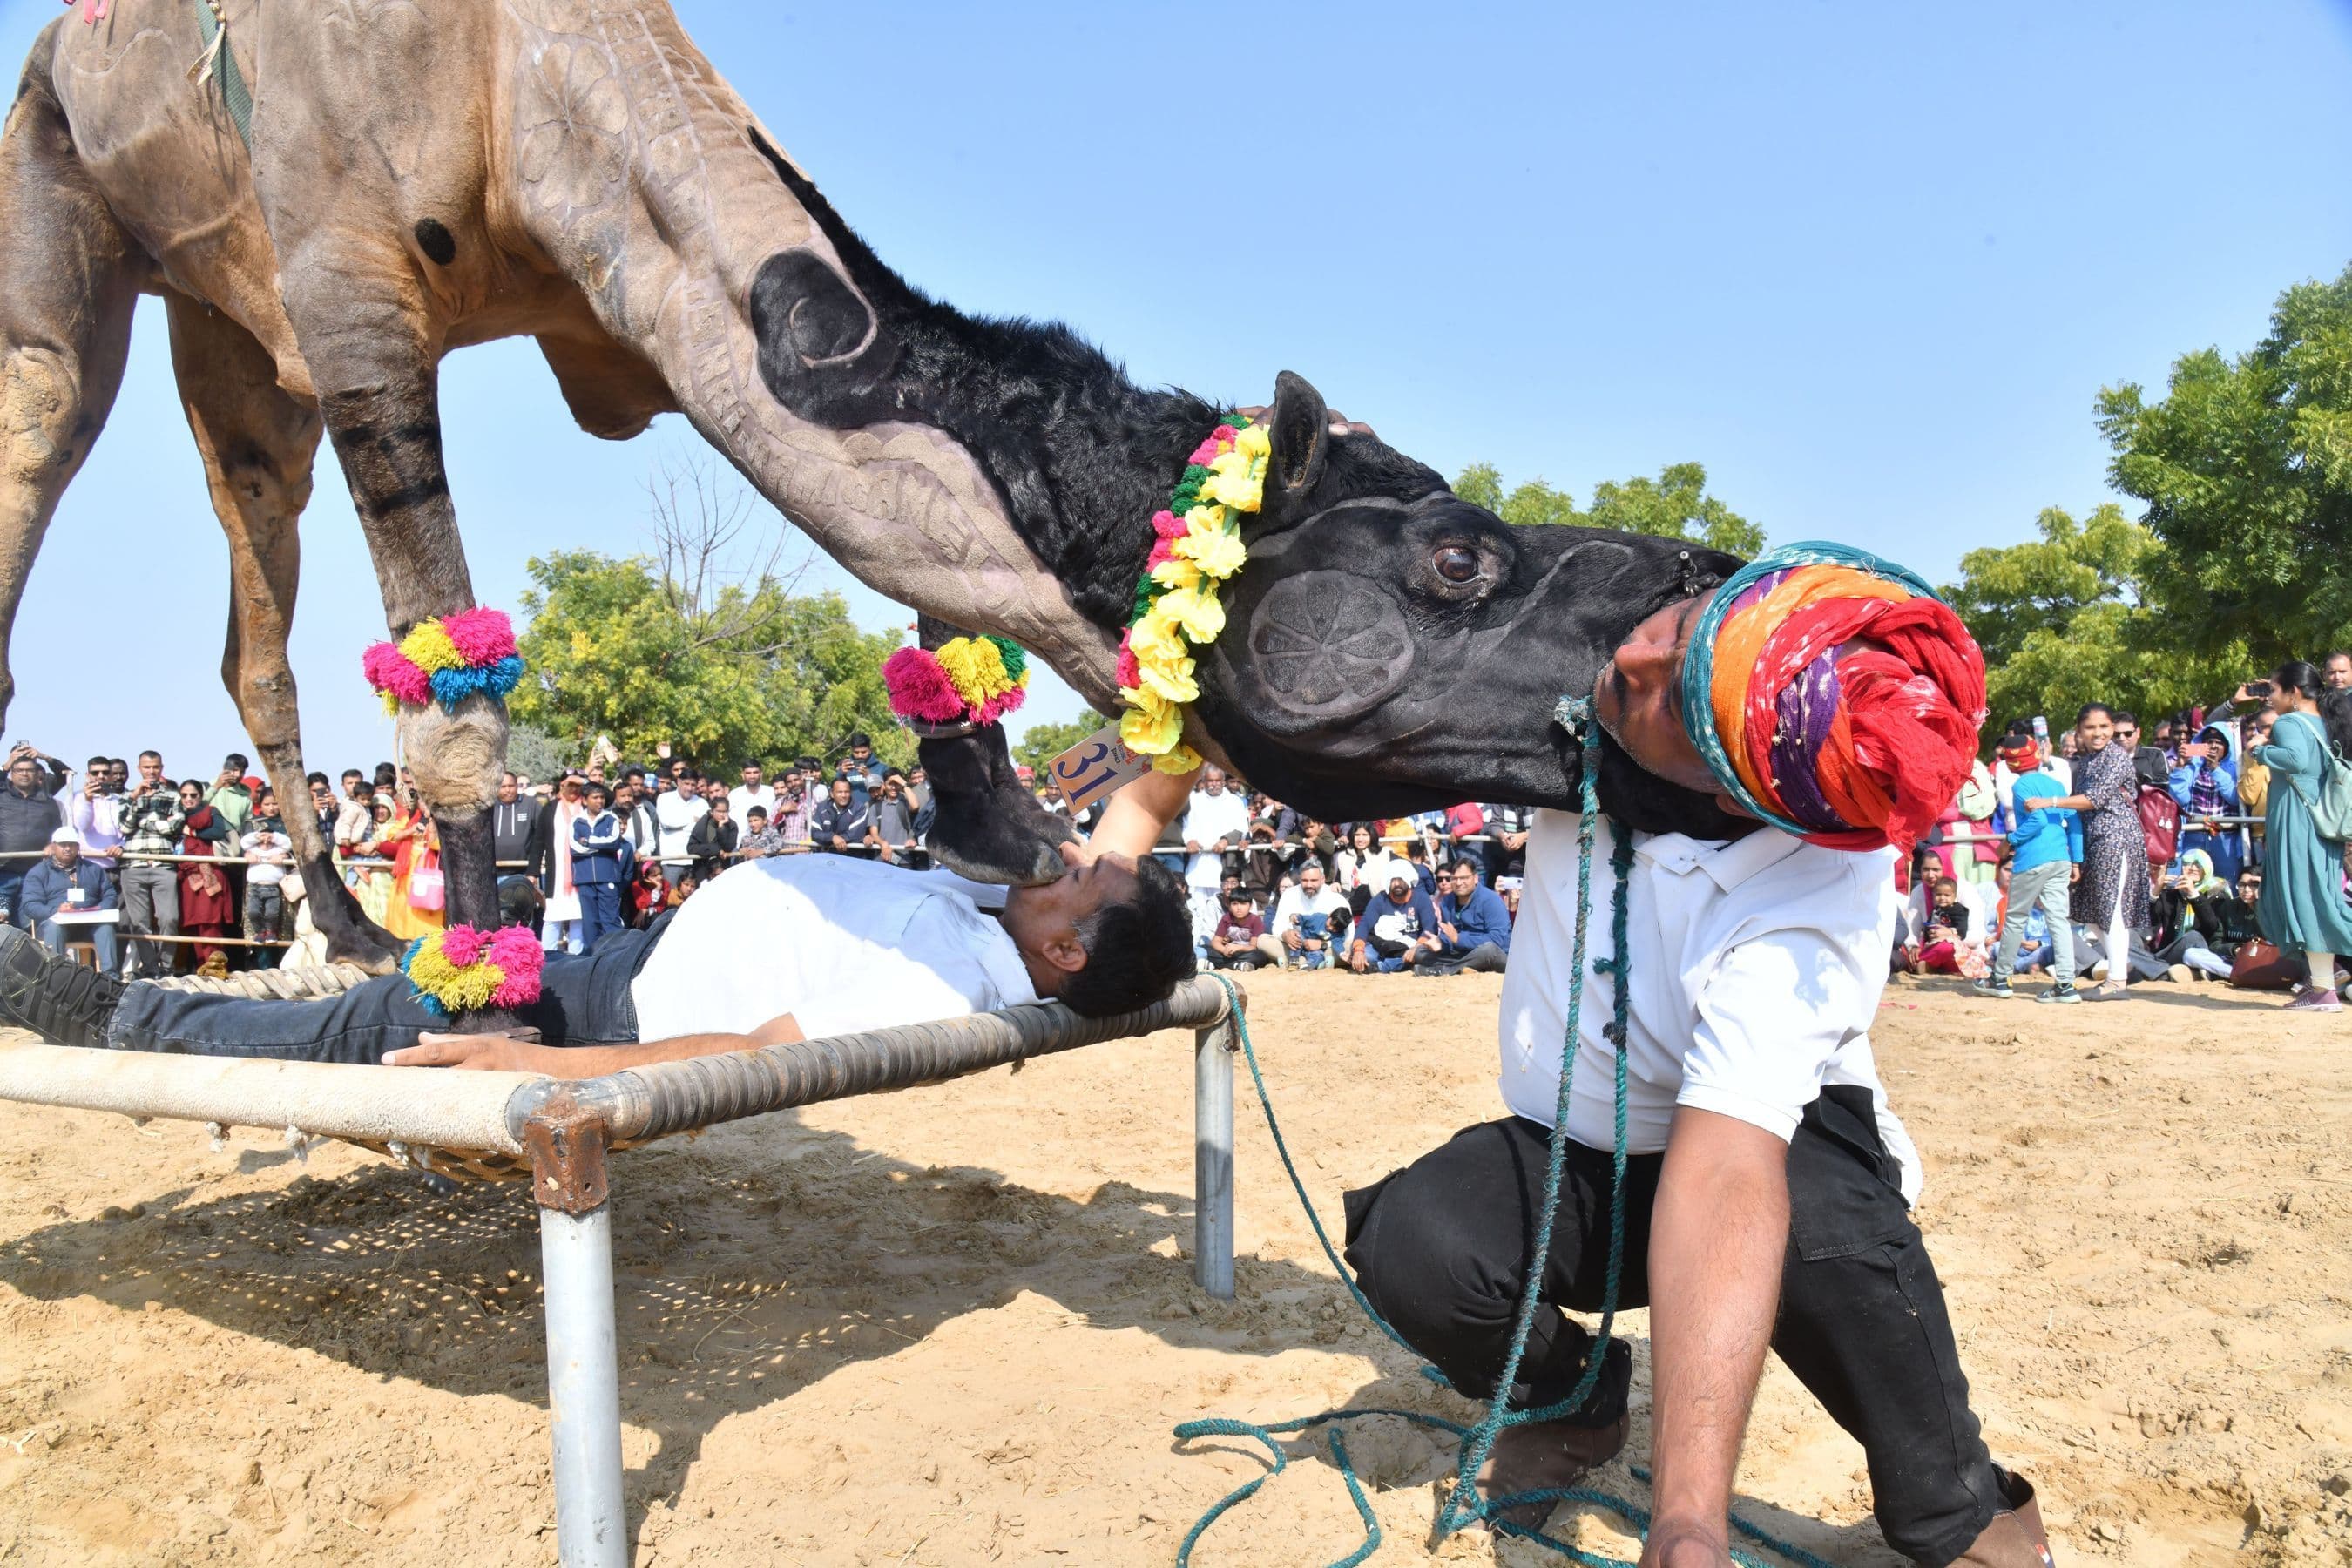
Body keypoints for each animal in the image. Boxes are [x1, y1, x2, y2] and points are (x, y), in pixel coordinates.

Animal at [0, 3, 1731, 1006]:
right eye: (1457, 555)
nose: (1699, 583)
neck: (522, 82)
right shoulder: (358, 306)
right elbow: (451, 689)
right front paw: (485, 979)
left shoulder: (659, 330)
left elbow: (941, 576)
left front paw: (1011, 833)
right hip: (85, 230)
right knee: (53, 456)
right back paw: (348, 950)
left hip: (235, 345)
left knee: (250, 623)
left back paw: (345, 938)